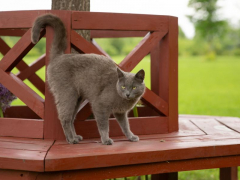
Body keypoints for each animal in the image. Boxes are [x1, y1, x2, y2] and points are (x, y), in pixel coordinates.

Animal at [31, 14, 145, 146]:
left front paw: (131, 137)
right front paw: (106, 140)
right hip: (67, 94)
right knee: (65, 117)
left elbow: (125, 126)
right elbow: (103, 126)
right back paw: (71, 139)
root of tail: (59, 56)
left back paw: (75, 136)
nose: (127, 94)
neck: (122, 100)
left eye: (134, 87)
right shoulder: (99, 105)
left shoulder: (120, 113)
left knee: (71, 118)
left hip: (77, 98)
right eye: (123, 86)